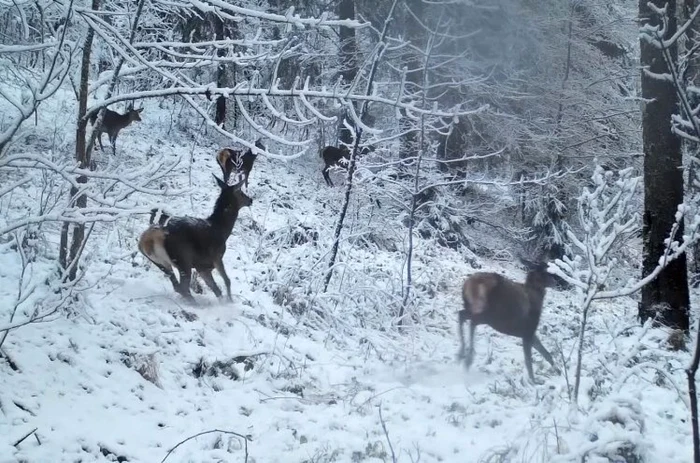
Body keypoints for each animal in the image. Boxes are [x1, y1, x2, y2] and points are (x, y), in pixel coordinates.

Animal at [138, 160, 253, 304]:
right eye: (241, 192)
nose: (251, 200)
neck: (222, 229)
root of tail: (147, 240)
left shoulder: (202, 266)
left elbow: (215, 288)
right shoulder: (216, 257)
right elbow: (227, 280)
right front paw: (230, 302)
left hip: (161, 263)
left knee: (177, 286)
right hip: (183, 259)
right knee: (183, 287)